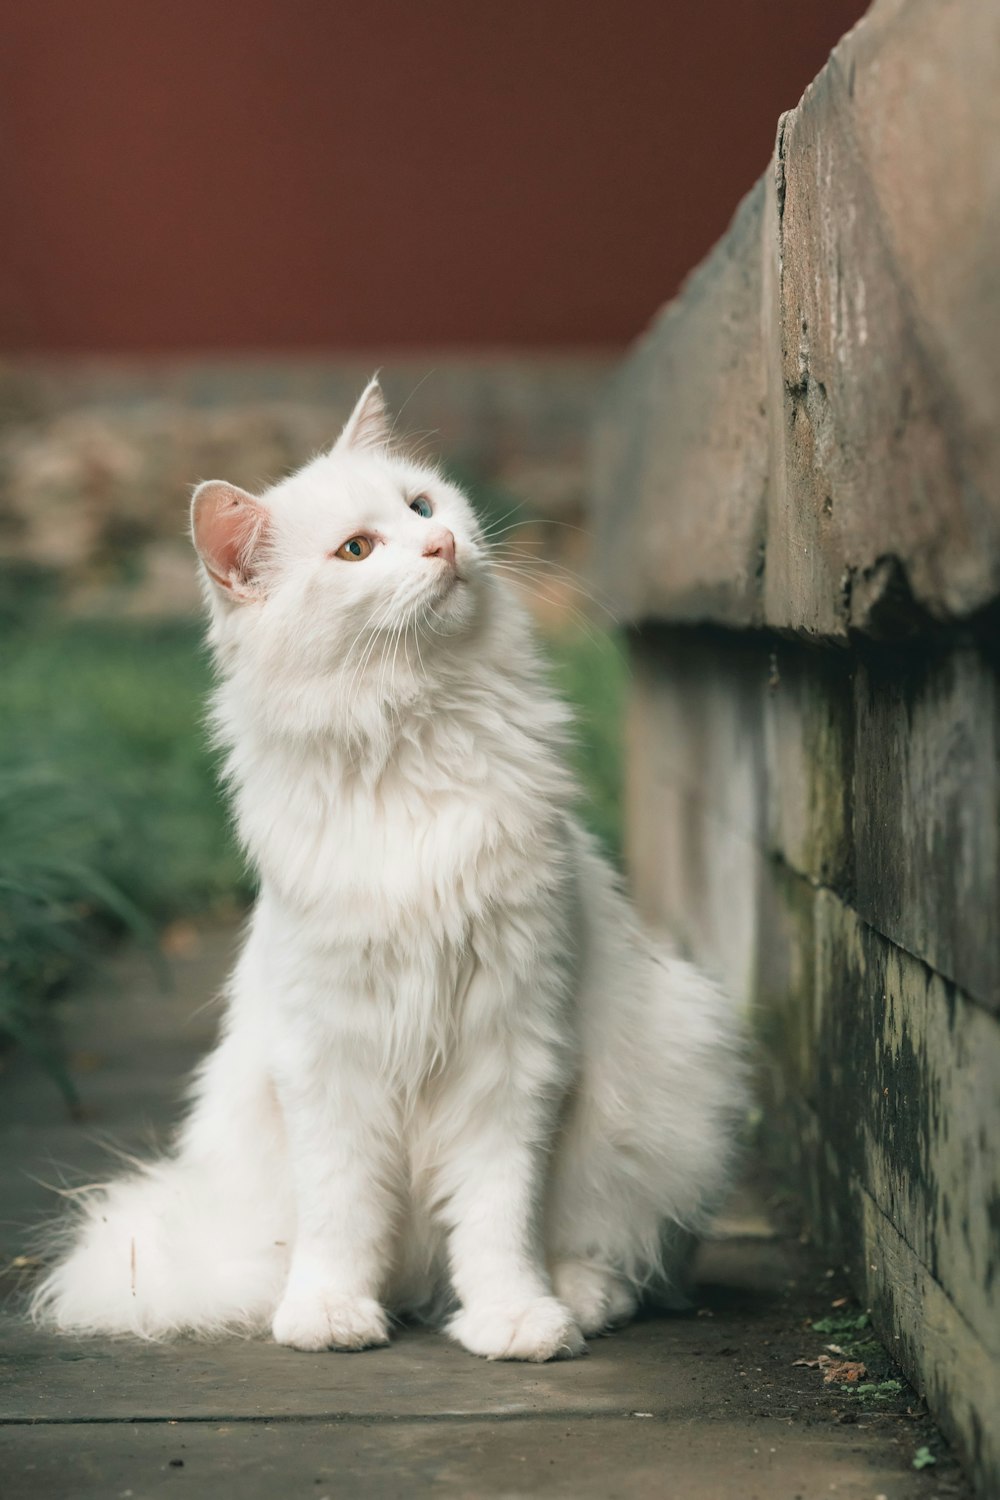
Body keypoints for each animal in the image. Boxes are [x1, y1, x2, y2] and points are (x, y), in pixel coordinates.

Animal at [31, 378, 746, 1362]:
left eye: (422, 508)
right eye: (357, 551)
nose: (442, 546)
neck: (412, 732)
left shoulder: (513, 1046)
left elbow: (499, 1218)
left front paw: (515, 1320)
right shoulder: (328, 1056)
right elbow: (342, 1216)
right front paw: (330, 1315)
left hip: (672, 1072)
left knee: (614, 1250)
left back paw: (578, 1298)